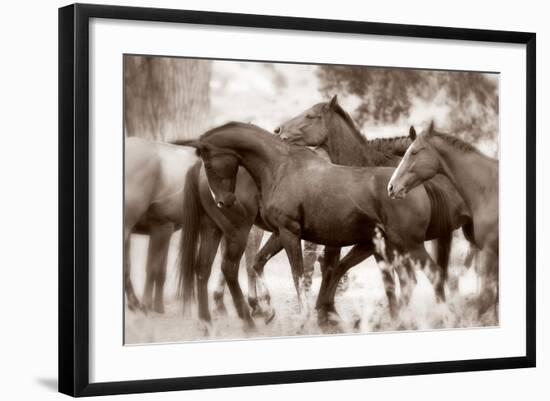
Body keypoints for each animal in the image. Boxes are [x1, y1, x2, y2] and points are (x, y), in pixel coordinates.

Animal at [183, 123, 454, 326]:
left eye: (210, 162)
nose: (223, 201)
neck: (280, 168)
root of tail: (413, 189)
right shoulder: (282, 233)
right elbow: (261, 263)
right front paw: (271, 310)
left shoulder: (289, 233)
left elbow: (298, 273)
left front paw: (306, 315)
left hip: (408, 245)